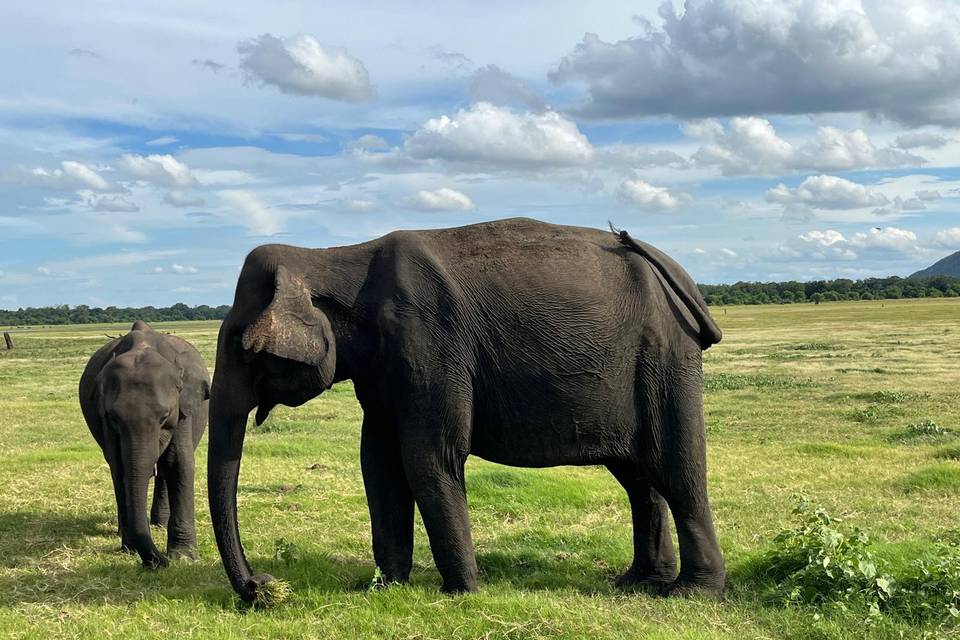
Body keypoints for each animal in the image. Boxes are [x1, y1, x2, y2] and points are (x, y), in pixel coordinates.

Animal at [79, 322, 209, 568]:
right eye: (113, 417)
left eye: (164, 416)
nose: (160, 562)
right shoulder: (103, 418)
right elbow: (119, 466)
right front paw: (129, 548)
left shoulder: (184, 407)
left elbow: (179, 464)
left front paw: (184, 558)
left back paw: (158, 525)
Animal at [208, 218, 720, 604]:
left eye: (240, 345)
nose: (262, 587)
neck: (330, 257)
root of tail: (678, 276)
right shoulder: (383, 368)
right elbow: (378, 463)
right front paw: (384, 589)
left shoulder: (431, 343)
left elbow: (428, 459)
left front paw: (460, 594)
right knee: (639, 478)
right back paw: (637, 583)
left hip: (664, 355)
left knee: (676, 471)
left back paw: (690, 593)